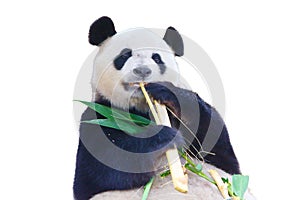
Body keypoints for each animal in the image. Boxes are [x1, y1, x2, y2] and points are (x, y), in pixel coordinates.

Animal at [74, 16, 254, 199]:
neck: (141, 109)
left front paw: (166, 93)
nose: (142, 71)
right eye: (125, 55)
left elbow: (220, 152)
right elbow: (102, 169)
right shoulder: (98, 116)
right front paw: (165, 136)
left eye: (157, 58)